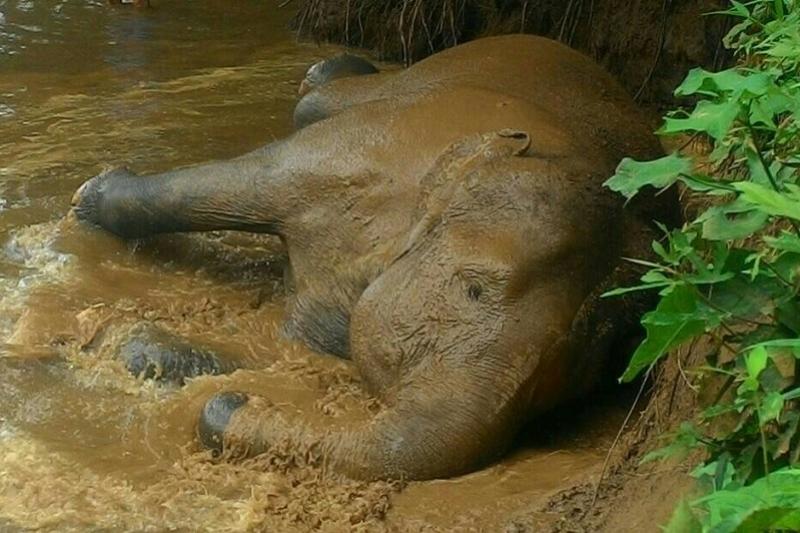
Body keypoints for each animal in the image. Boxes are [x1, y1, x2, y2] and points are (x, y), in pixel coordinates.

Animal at [71, 34, 679, 481]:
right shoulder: (364, 150)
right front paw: (88, 198)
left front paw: (160, 358)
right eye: (474, 288)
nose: (230, 403)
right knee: (312, 103)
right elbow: (243, 181)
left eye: (580, 369)